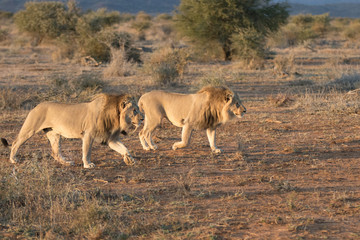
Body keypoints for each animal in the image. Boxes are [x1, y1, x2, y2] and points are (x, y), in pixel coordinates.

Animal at [0, 93, 143, 168]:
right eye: (134, 110)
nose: (143, 118)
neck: (115, 117)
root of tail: (36, 106)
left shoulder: (110, 139)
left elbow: (124, 148)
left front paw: (129, 159)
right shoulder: (88, 134)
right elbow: (87, 151)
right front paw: (88, 164)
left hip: (54, 134)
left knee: (55, 152)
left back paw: (67, 162)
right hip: (30, 128)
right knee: (16, 143)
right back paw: (13, 159)